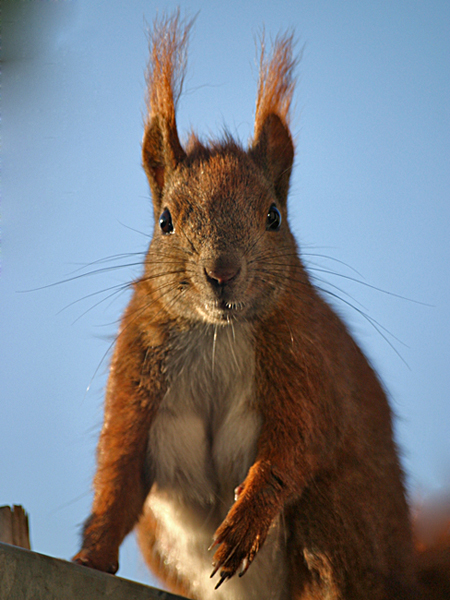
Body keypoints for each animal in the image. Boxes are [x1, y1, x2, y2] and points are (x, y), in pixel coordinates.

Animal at [74, 14, 450, 600]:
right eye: (165, 220)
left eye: (273, 216)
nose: (222, 273)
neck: (216, 332)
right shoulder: (137, 371)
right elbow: (118, 472)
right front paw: (90, 555)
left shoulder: (304, 367)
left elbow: (290, 450)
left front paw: (244, 524)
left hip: (333, 519)